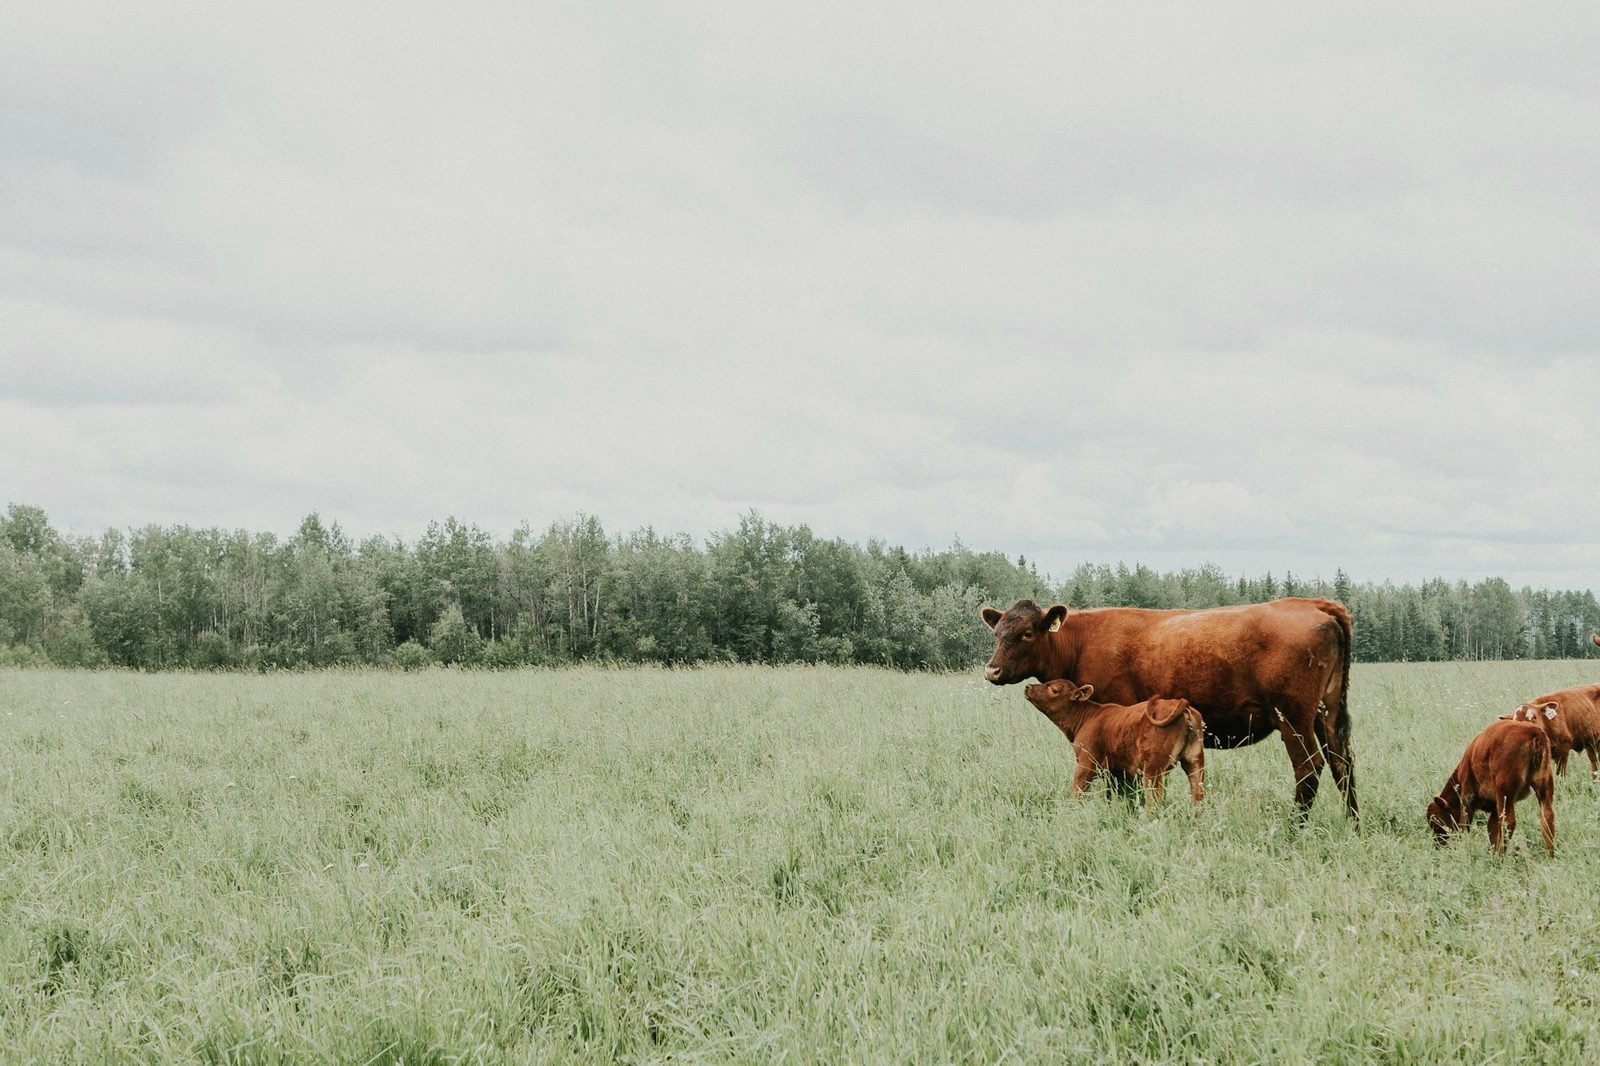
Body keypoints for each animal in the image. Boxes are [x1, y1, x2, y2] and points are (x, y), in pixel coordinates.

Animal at [1023, 679, 1205, 810]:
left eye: (1054, 689)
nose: (1027, 687)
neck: (1087, 717)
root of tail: (1183, 706)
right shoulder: (1115, 770)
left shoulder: (1086, 763)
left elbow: (1077, 792)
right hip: (1194, 761)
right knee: (1198, 794)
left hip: (1153, 770)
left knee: (1154, 800)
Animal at [1426, 717, 1555, 855]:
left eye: (1437, 824)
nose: (1437, 845)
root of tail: (1533, 731)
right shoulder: (1494, 806)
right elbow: (1492, 831)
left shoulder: (1467, 796)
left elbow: (1464, 825)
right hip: (1544, 784)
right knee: (1547, 817)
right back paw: (1549, 855)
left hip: (1505, 790)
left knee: (1508, 822)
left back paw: (1501, 855)